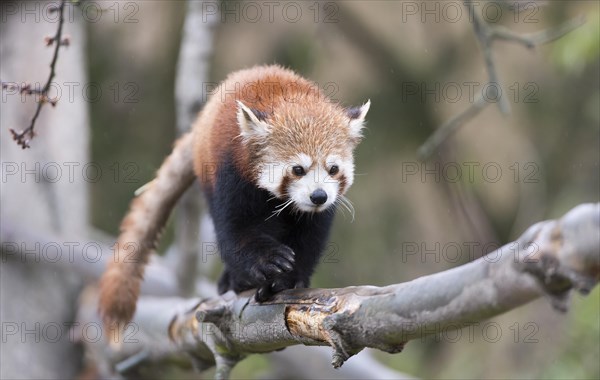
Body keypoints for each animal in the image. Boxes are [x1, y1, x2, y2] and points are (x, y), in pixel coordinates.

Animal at [98, 65, 370, 338]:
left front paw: (289, 279)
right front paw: (268, 261)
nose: (318, 196)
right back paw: (236, 280)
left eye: (333, 169)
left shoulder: (318, 214)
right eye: (298, 169)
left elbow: (309, 238)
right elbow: (237, 233)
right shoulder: (231, 176)